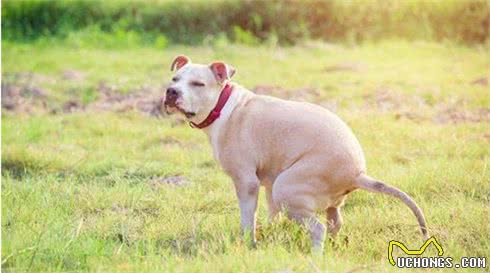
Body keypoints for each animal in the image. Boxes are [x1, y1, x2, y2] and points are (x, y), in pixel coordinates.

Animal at [163, 54, 426, 251]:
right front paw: (269, 233)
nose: (171, 92)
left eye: (198, 84)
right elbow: (271, 212)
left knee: (318, 229)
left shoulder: (246, 183)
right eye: (174, 79)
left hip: (287, 187)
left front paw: (249, 243)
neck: (223, 106)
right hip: (312, 196)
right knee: (334, 221)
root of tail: (358, 174)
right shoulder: (268, 182)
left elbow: (247, 219)